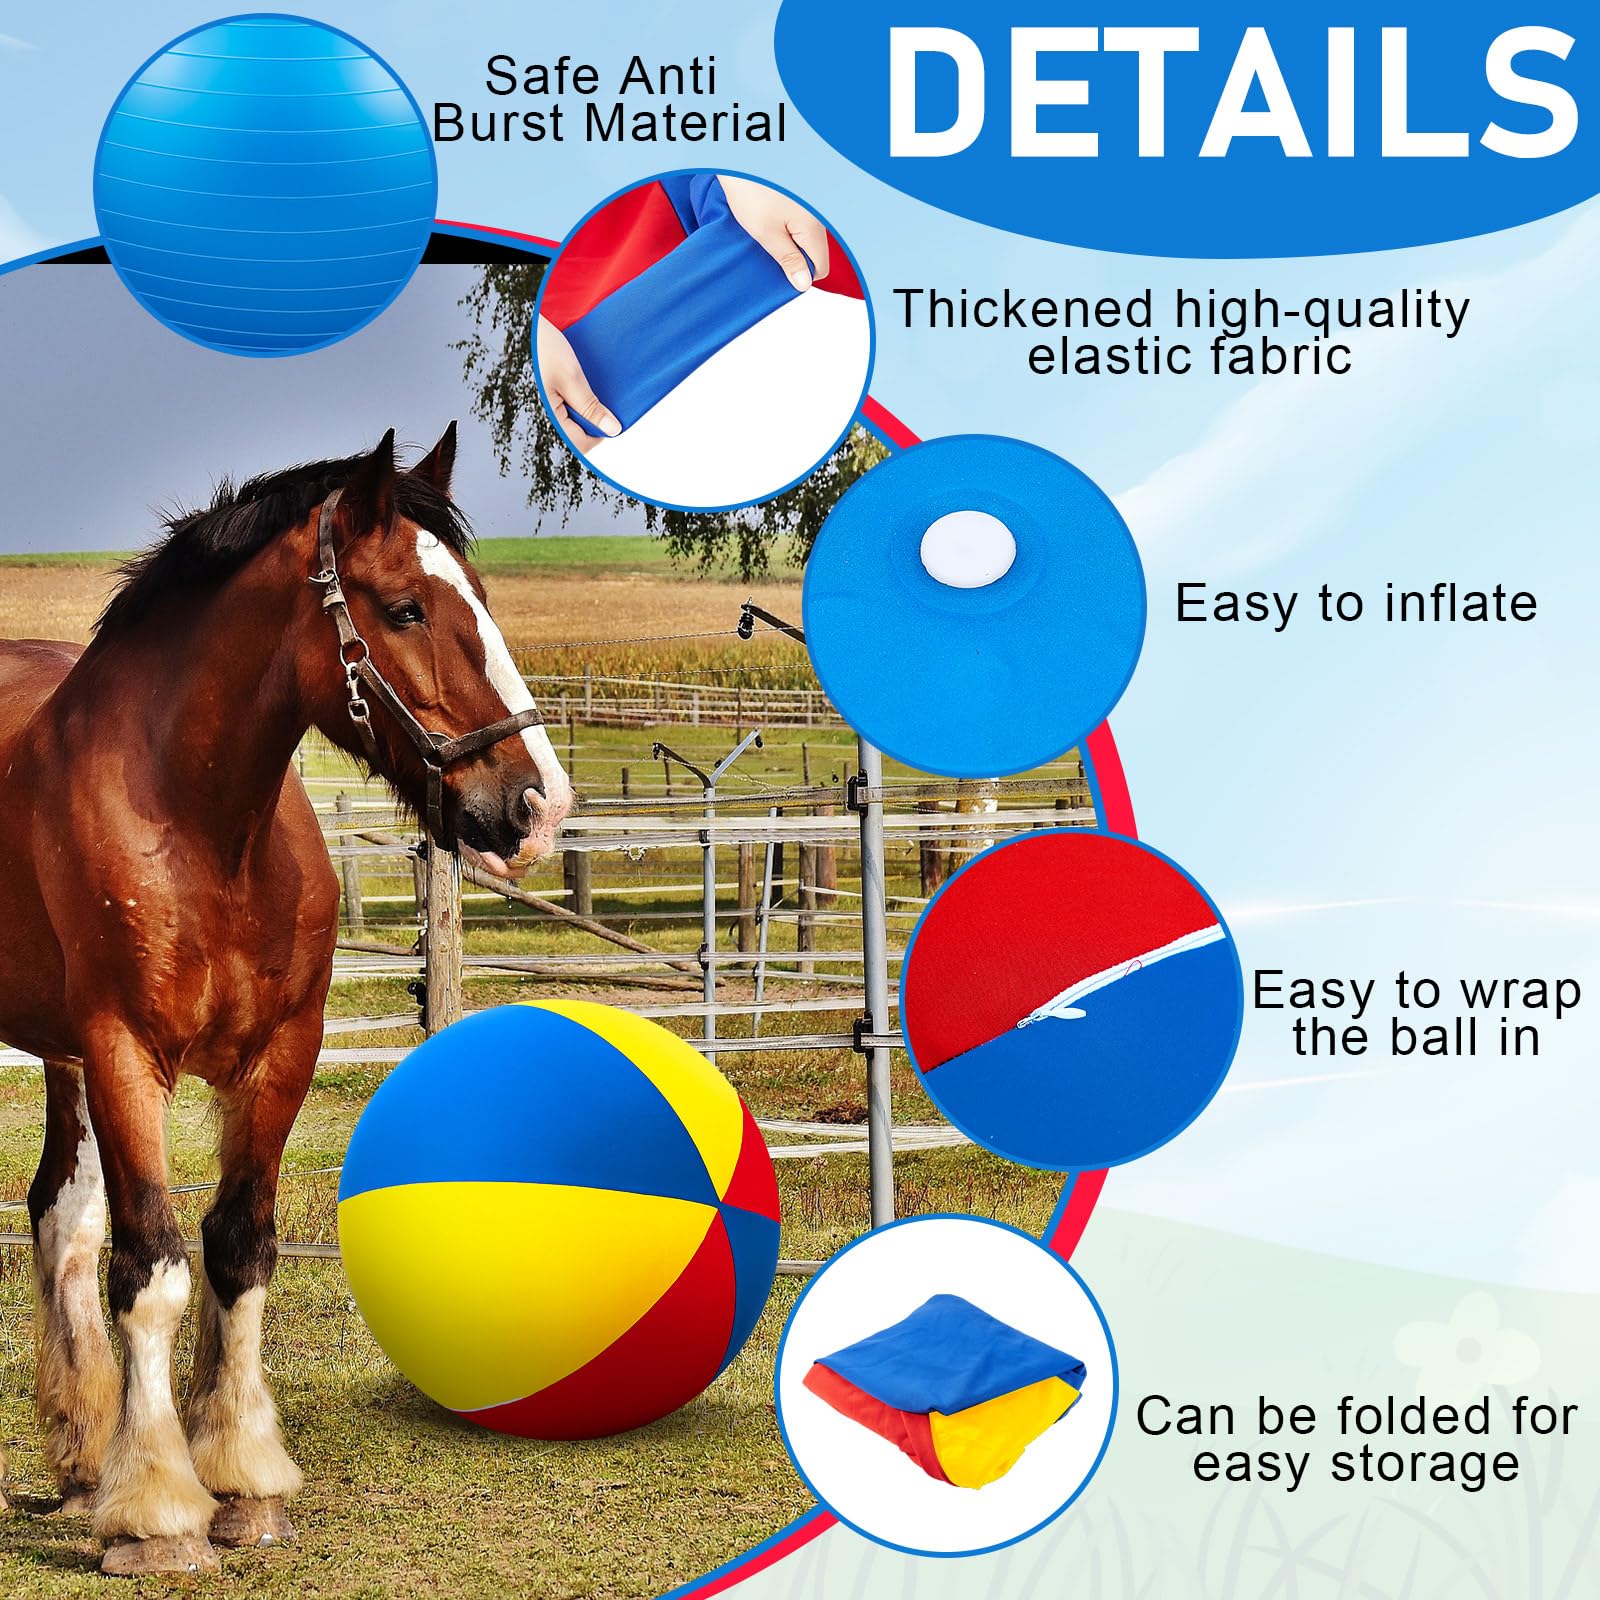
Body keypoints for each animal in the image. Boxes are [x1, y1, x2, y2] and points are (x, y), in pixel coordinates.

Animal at [0, 426, 572, 1575]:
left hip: (60, 1058)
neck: (201, 830)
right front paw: (159, 1513)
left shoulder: (277, 1055)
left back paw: (82, 1461)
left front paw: (238, 1481)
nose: (536, 807)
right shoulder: (125, 1052)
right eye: (404, 608)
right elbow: (155, 1266)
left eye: (481, 595)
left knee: (59, 1214)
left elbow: (237, 1250)